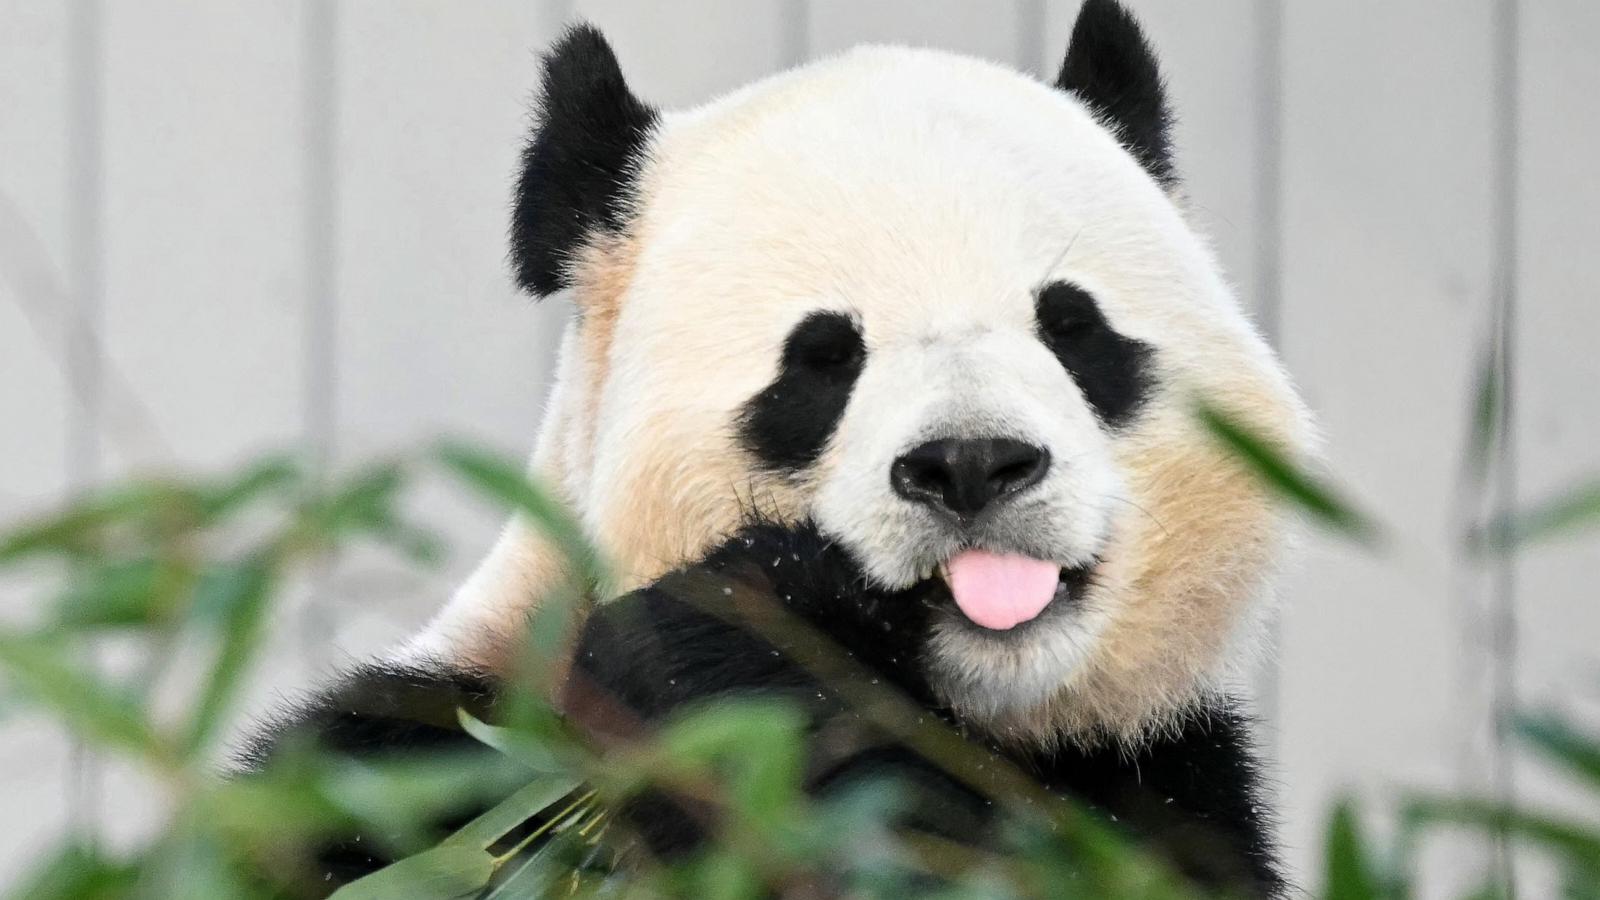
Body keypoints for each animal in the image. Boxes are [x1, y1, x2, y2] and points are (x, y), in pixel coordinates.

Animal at [246, 3, 1312, 890]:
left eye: (1072, 328)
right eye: (823, 360)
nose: (970, 464)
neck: (986, 711)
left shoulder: (1172, 778)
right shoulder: (414, 764)